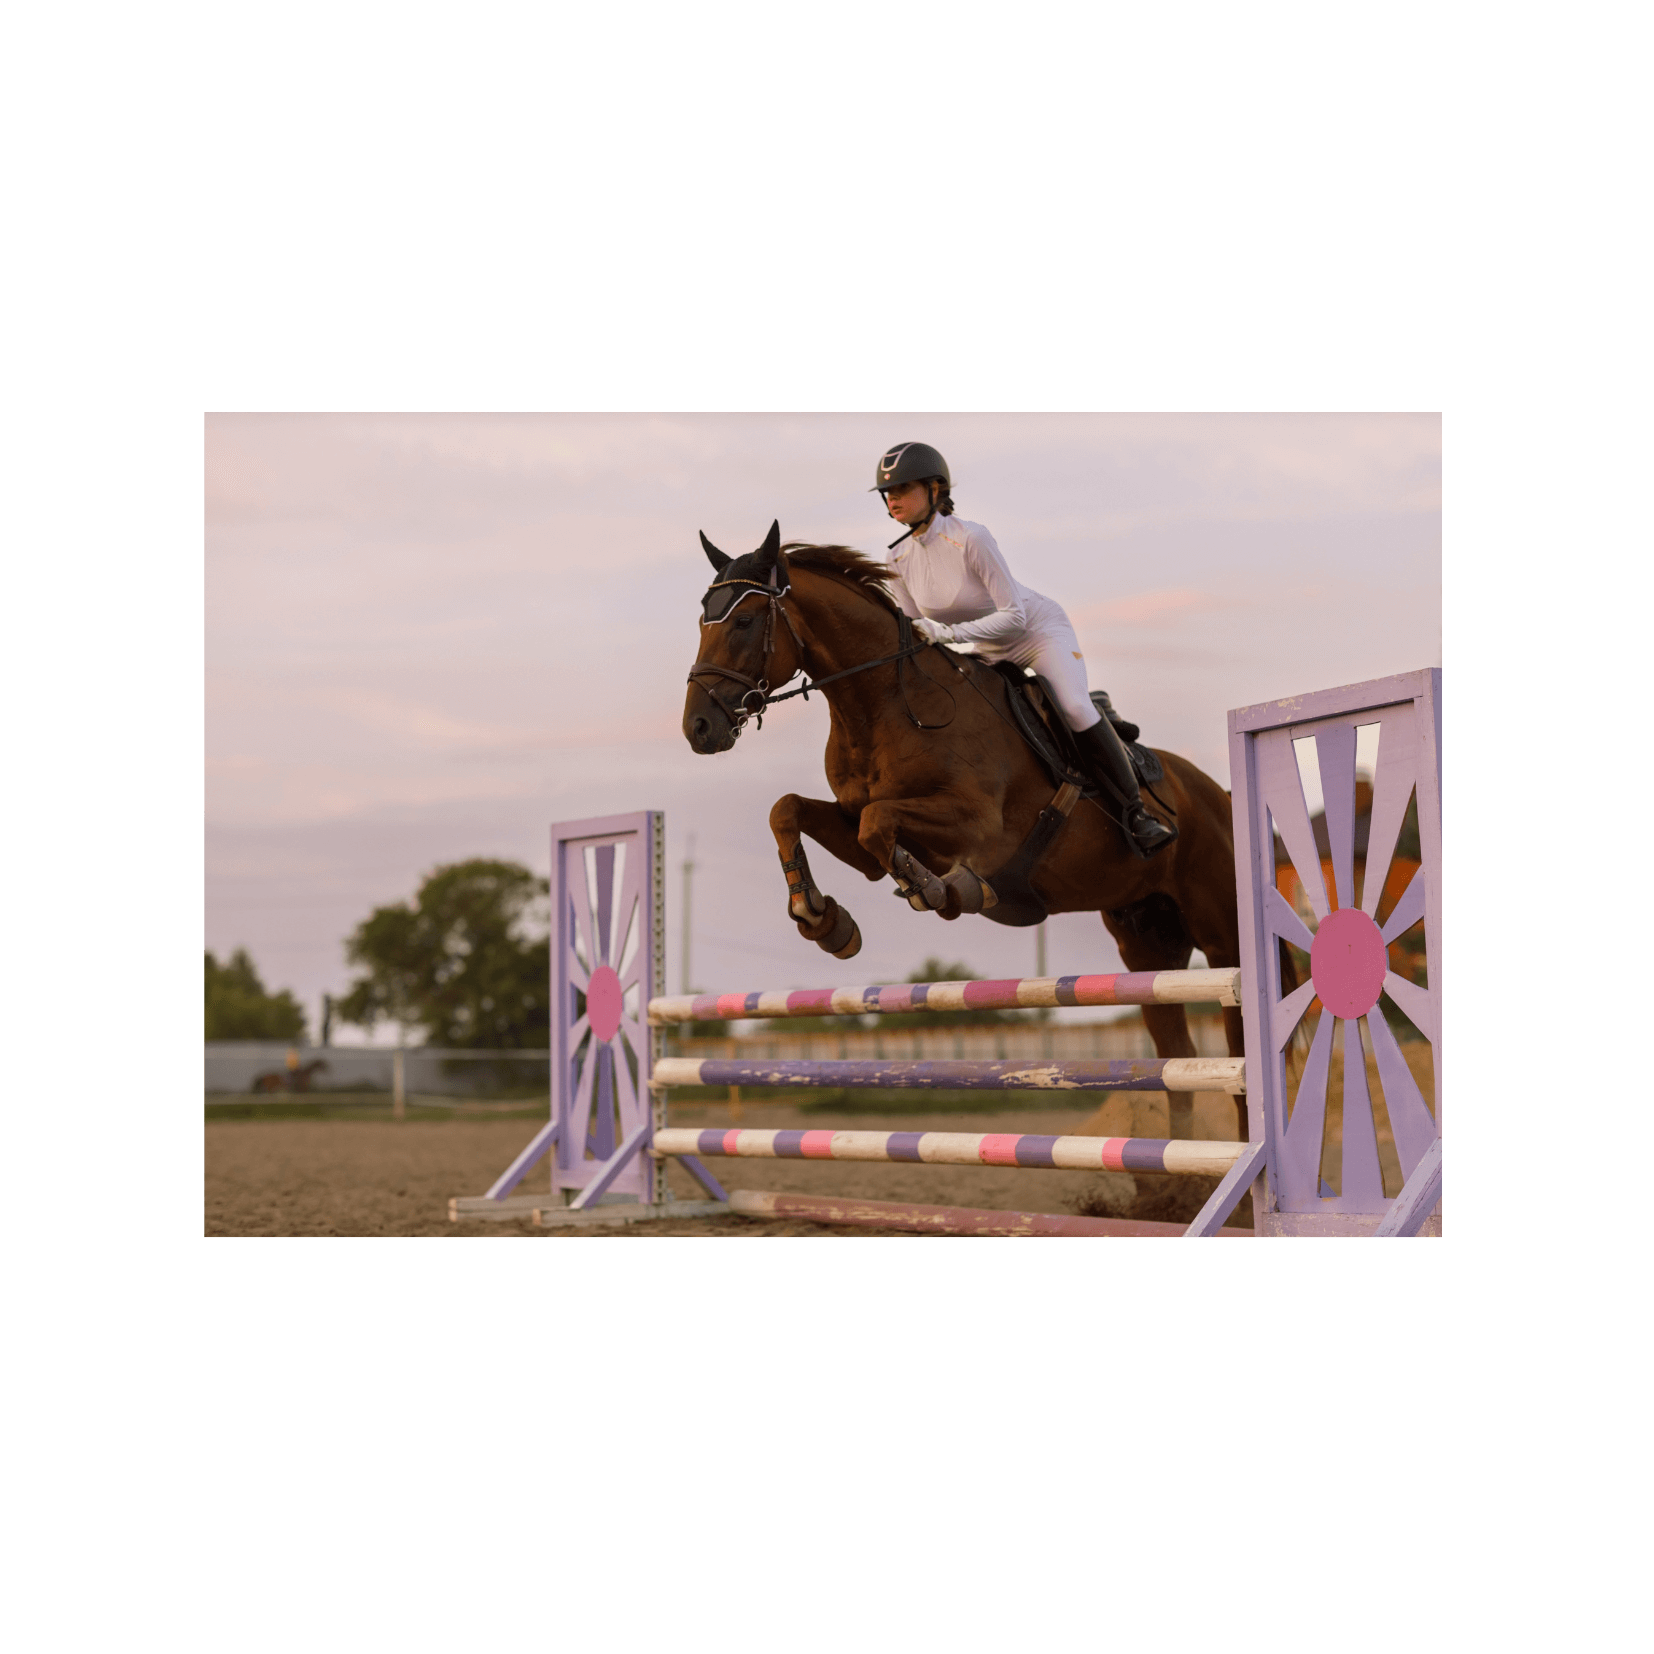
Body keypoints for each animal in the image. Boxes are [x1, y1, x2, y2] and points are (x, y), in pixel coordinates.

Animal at [678, 522, 1243, 1131]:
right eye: (702, 620)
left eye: (743, 621)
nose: (698, 728)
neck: (888, 702)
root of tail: (1219, 793)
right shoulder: (857, 831)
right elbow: (792, 811)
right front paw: (823, 919)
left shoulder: (978, 824)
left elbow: (881, 825)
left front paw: (941, 890)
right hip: (1147, 945)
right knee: (1177, 1065)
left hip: (1222, 936)